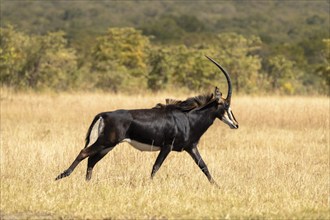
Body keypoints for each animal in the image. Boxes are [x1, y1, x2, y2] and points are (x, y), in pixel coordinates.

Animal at [55, 55, 238, 185]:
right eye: (225, 105)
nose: (235, 124)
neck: (188, 118)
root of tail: (104, 114)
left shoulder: (190, 147)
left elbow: (204, 166)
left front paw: (217, 186)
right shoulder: (167, 146)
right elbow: (155, 167)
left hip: (108, 146)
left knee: (91, 160)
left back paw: (87, 183)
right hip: (105, 142)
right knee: (83, 153)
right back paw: (62, 175)